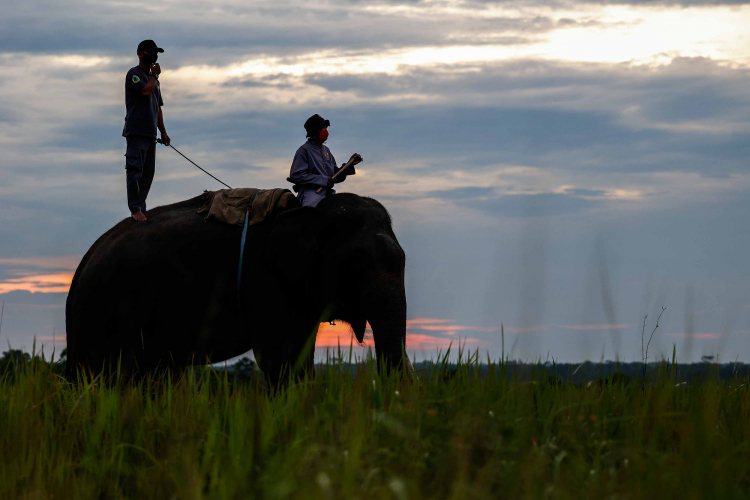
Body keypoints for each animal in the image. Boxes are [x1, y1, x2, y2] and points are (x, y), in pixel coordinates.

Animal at [65, 191, 412, 383]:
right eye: (356, 264)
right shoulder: (266, 281)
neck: (308, 213)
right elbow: (283, 362)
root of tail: (83, 264)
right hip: (104, 311)